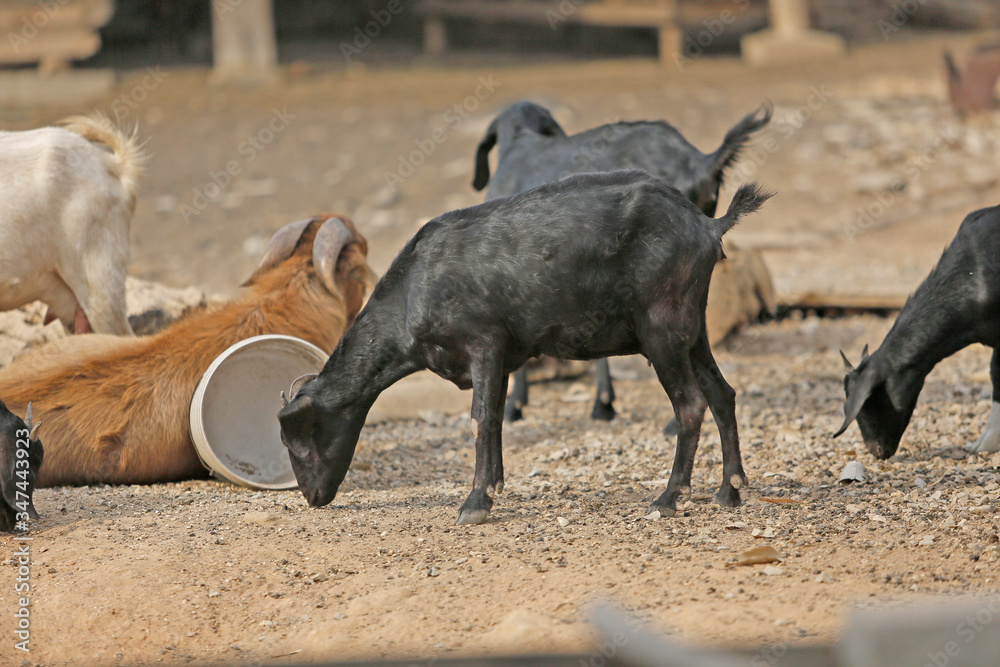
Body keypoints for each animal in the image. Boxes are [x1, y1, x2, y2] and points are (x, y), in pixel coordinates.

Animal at [279, 171, 772, 525]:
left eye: (300, 440)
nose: (314, 496)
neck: (412, 293)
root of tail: (707, 224)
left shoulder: (482, 343)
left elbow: (480, 418)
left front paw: (474, 503)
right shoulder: (504, 357)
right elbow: (496, 417)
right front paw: (494, 487)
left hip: (662, 330)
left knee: (690, 404)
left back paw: (669, 497)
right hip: (693, 331)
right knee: (722, 394)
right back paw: (728, 490)